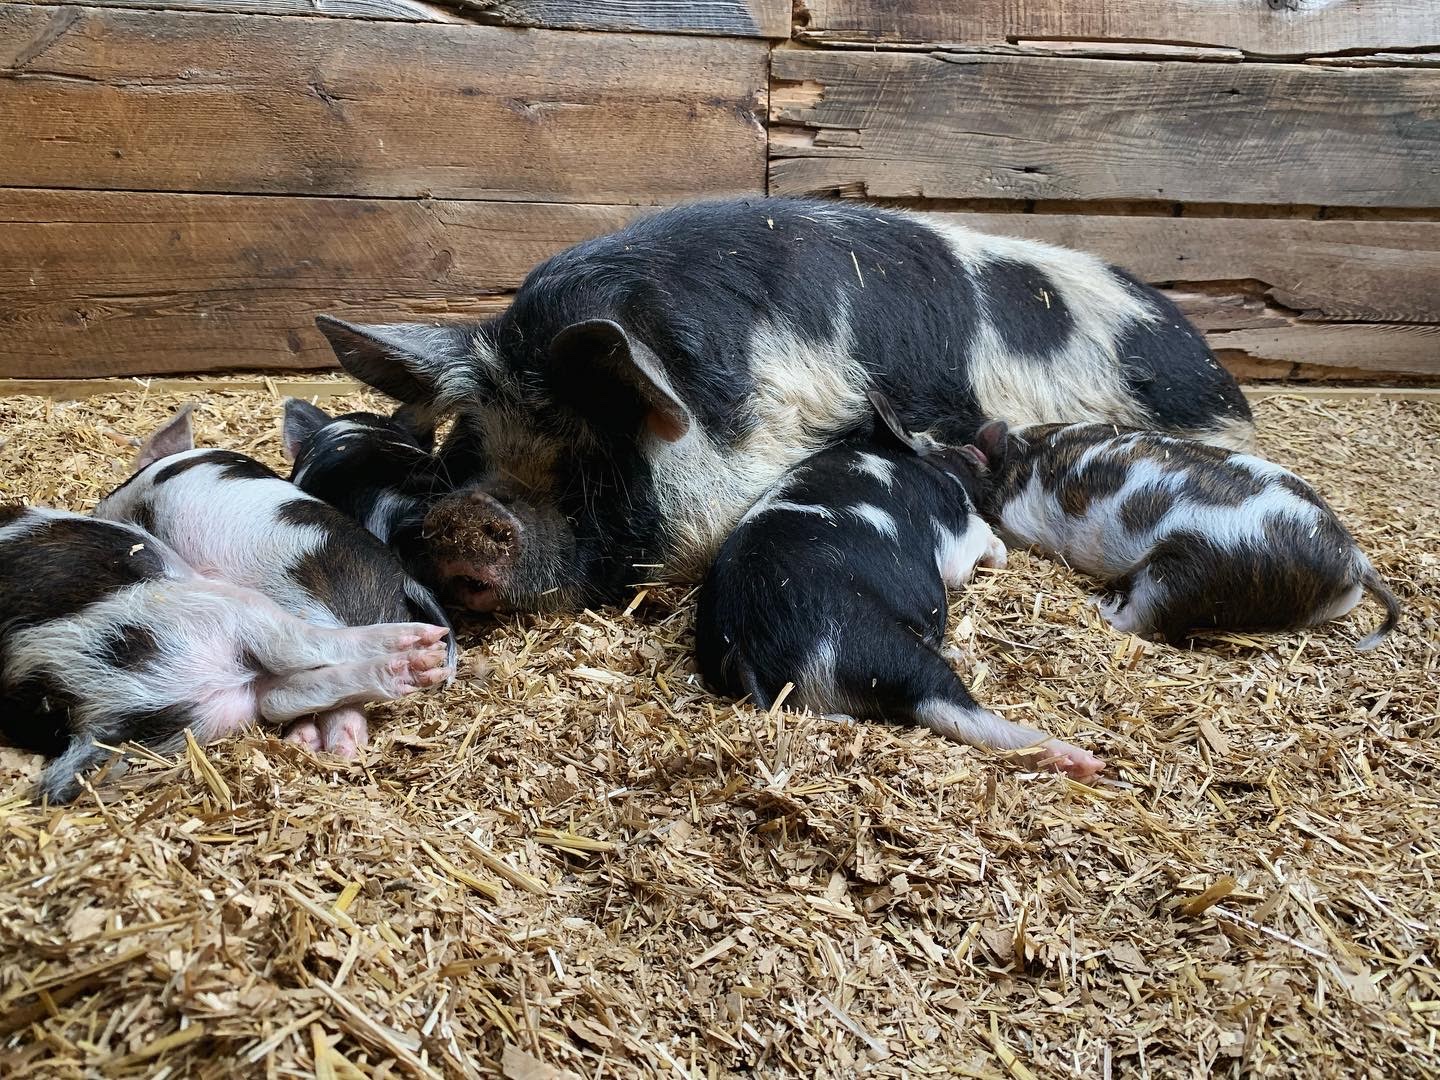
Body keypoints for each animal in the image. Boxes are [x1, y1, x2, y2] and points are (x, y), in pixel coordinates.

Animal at [694, 394, 1100, 783]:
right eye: (941, 442)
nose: (995, 429)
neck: (928, 466)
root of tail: (745, 643)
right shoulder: (953, 533)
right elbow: (974, 545)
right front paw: (999, 558)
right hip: (872, 646)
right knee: (943, 699)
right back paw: (1082, 761)